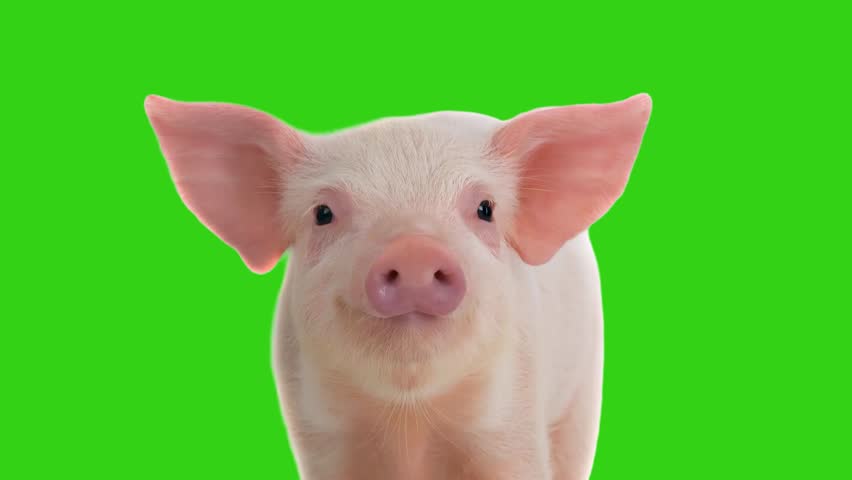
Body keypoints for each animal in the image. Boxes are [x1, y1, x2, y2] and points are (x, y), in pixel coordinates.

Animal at [144, 92, 652, 480]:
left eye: (485, 208)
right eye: (323, 213)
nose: (413, 251)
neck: (410, 421)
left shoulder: (513, 422)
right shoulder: (319, 436)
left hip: (584, 391)